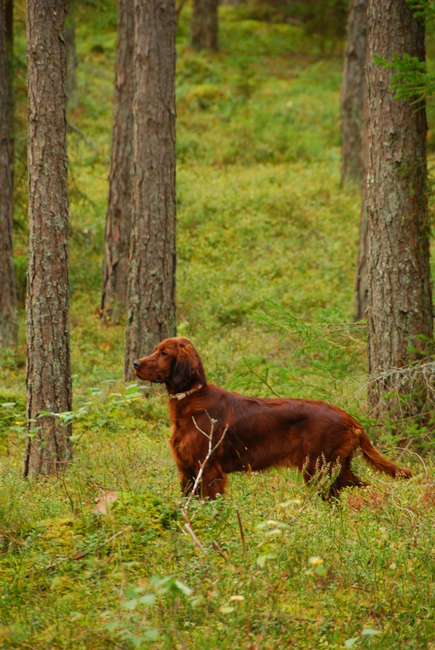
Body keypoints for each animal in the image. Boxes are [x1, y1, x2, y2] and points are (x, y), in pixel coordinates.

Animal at [134, 336, 412, 498]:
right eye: (155, 350)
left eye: (164, 353)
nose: (136, 364)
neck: (191, 401)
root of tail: (350, 418)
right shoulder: (187, 471)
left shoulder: (210, 470)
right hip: (336, 471)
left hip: (319, 470)